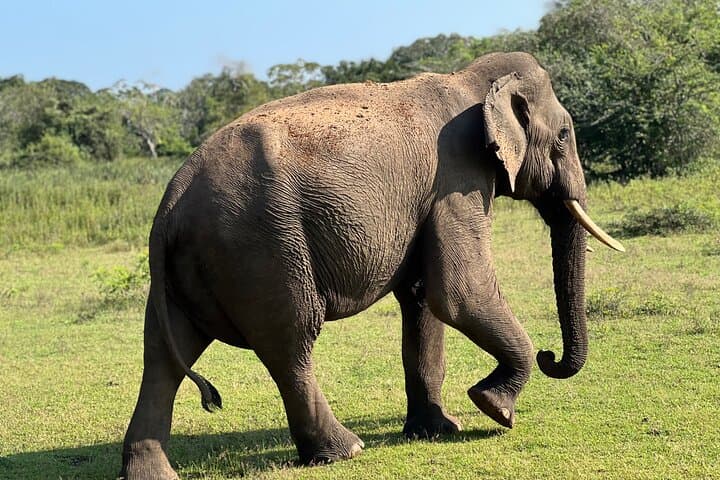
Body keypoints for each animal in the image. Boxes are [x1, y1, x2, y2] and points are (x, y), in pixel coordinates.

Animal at [120, 51, 624, 479]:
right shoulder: (456, 179)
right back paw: (346, 450)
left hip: (194, 267)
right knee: (291, 341)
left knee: (164, 353)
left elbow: (422, 297)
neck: (469, 80)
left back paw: (151, 474)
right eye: (564, 135)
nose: (549, 356)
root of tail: (171, 203)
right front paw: (494, 409)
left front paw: (440, 429)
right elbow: (458, 293)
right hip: (262, 247)